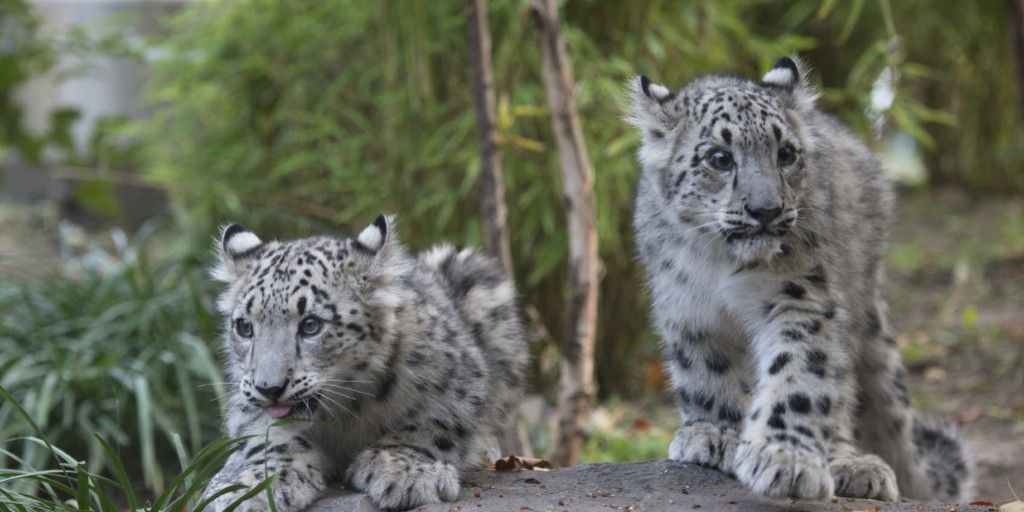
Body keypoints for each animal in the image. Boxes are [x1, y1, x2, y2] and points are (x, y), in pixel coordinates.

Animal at [200, 214, 528, 509]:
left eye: (311, 324)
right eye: (244, 326)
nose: (269, 388)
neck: (345, 412)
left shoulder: (458, 379)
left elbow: (432, 425)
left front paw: (403, 471)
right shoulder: (245, 399)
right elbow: (272, 436)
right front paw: (259, 488)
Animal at [626, 58, 970, 501]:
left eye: (786, 153)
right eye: (719, 157)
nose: (766, 210)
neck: (721, 264)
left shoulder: (799, 296)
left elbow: (797, 376)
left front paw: (784, 459)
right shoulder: (688, 309)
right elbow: (707, 372)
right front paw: (717, 434)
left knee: (841, 391)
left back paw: (853, 465)